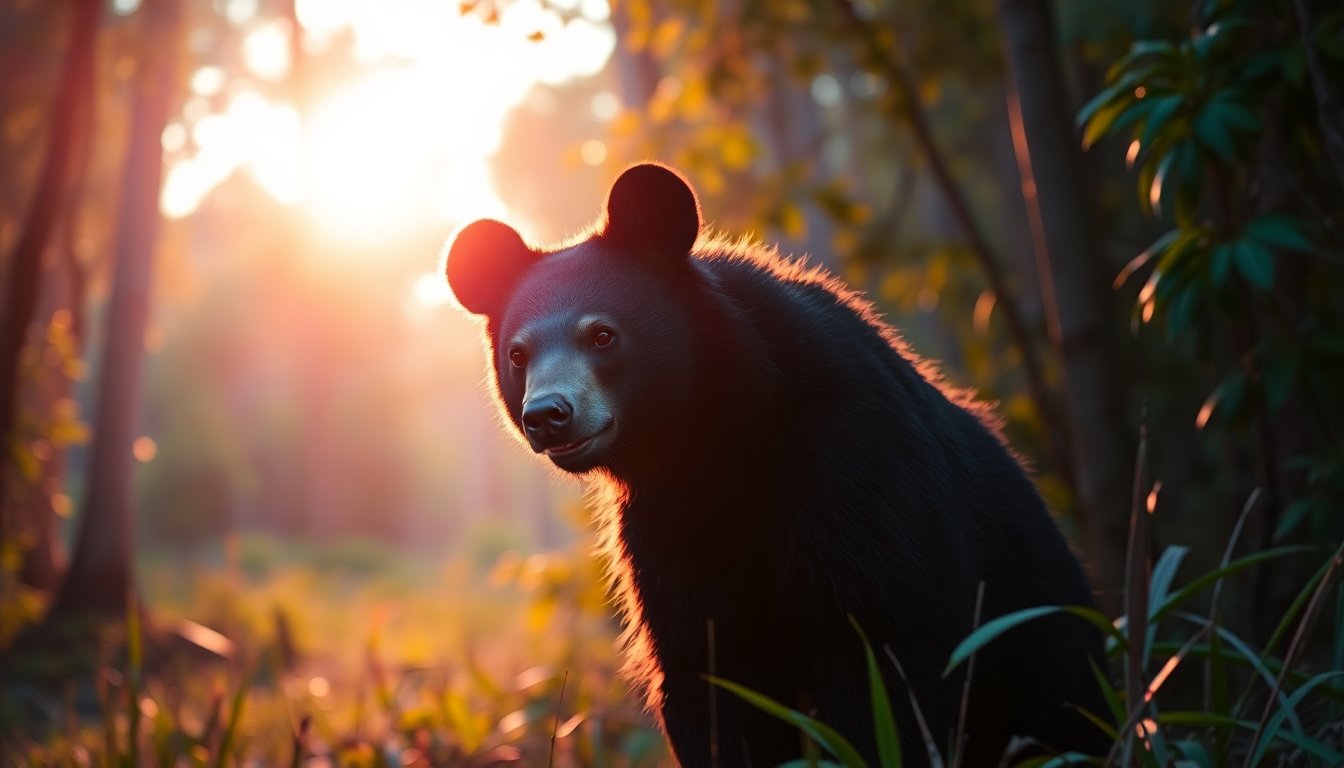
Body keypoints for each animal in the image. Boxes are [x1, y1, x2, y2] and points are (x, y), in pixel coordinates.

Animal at [444, 163, 1111, 766]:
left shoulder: (856, 464)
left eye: (602, 334)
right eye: (519, 354)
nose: (547, 415)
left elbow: (885, 644)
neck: (713, 439)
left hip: (1044, 627)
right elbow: (709, 671)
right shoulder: (666, 529)